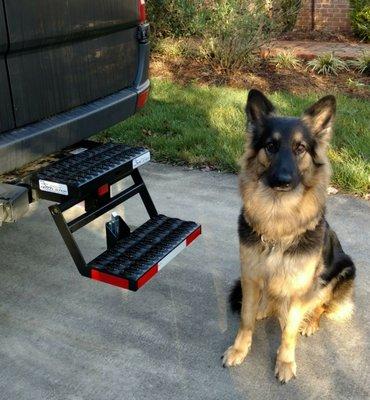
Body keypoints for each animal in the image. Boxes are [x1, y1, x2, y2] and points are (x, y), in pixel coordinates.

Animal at [223, 89, 356, 382]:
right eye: (271, 146)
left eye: (300, 148)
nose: (283, 180)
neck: (278, 219)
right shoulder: (250, 276)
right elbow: (245, 318)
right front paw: (239, 349)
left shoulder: (298, 289)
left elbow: (289, 333)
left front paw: (285, 362)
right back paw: (264, 309)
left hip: (342, 271)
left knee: (320, 307)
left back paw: (311, 323)